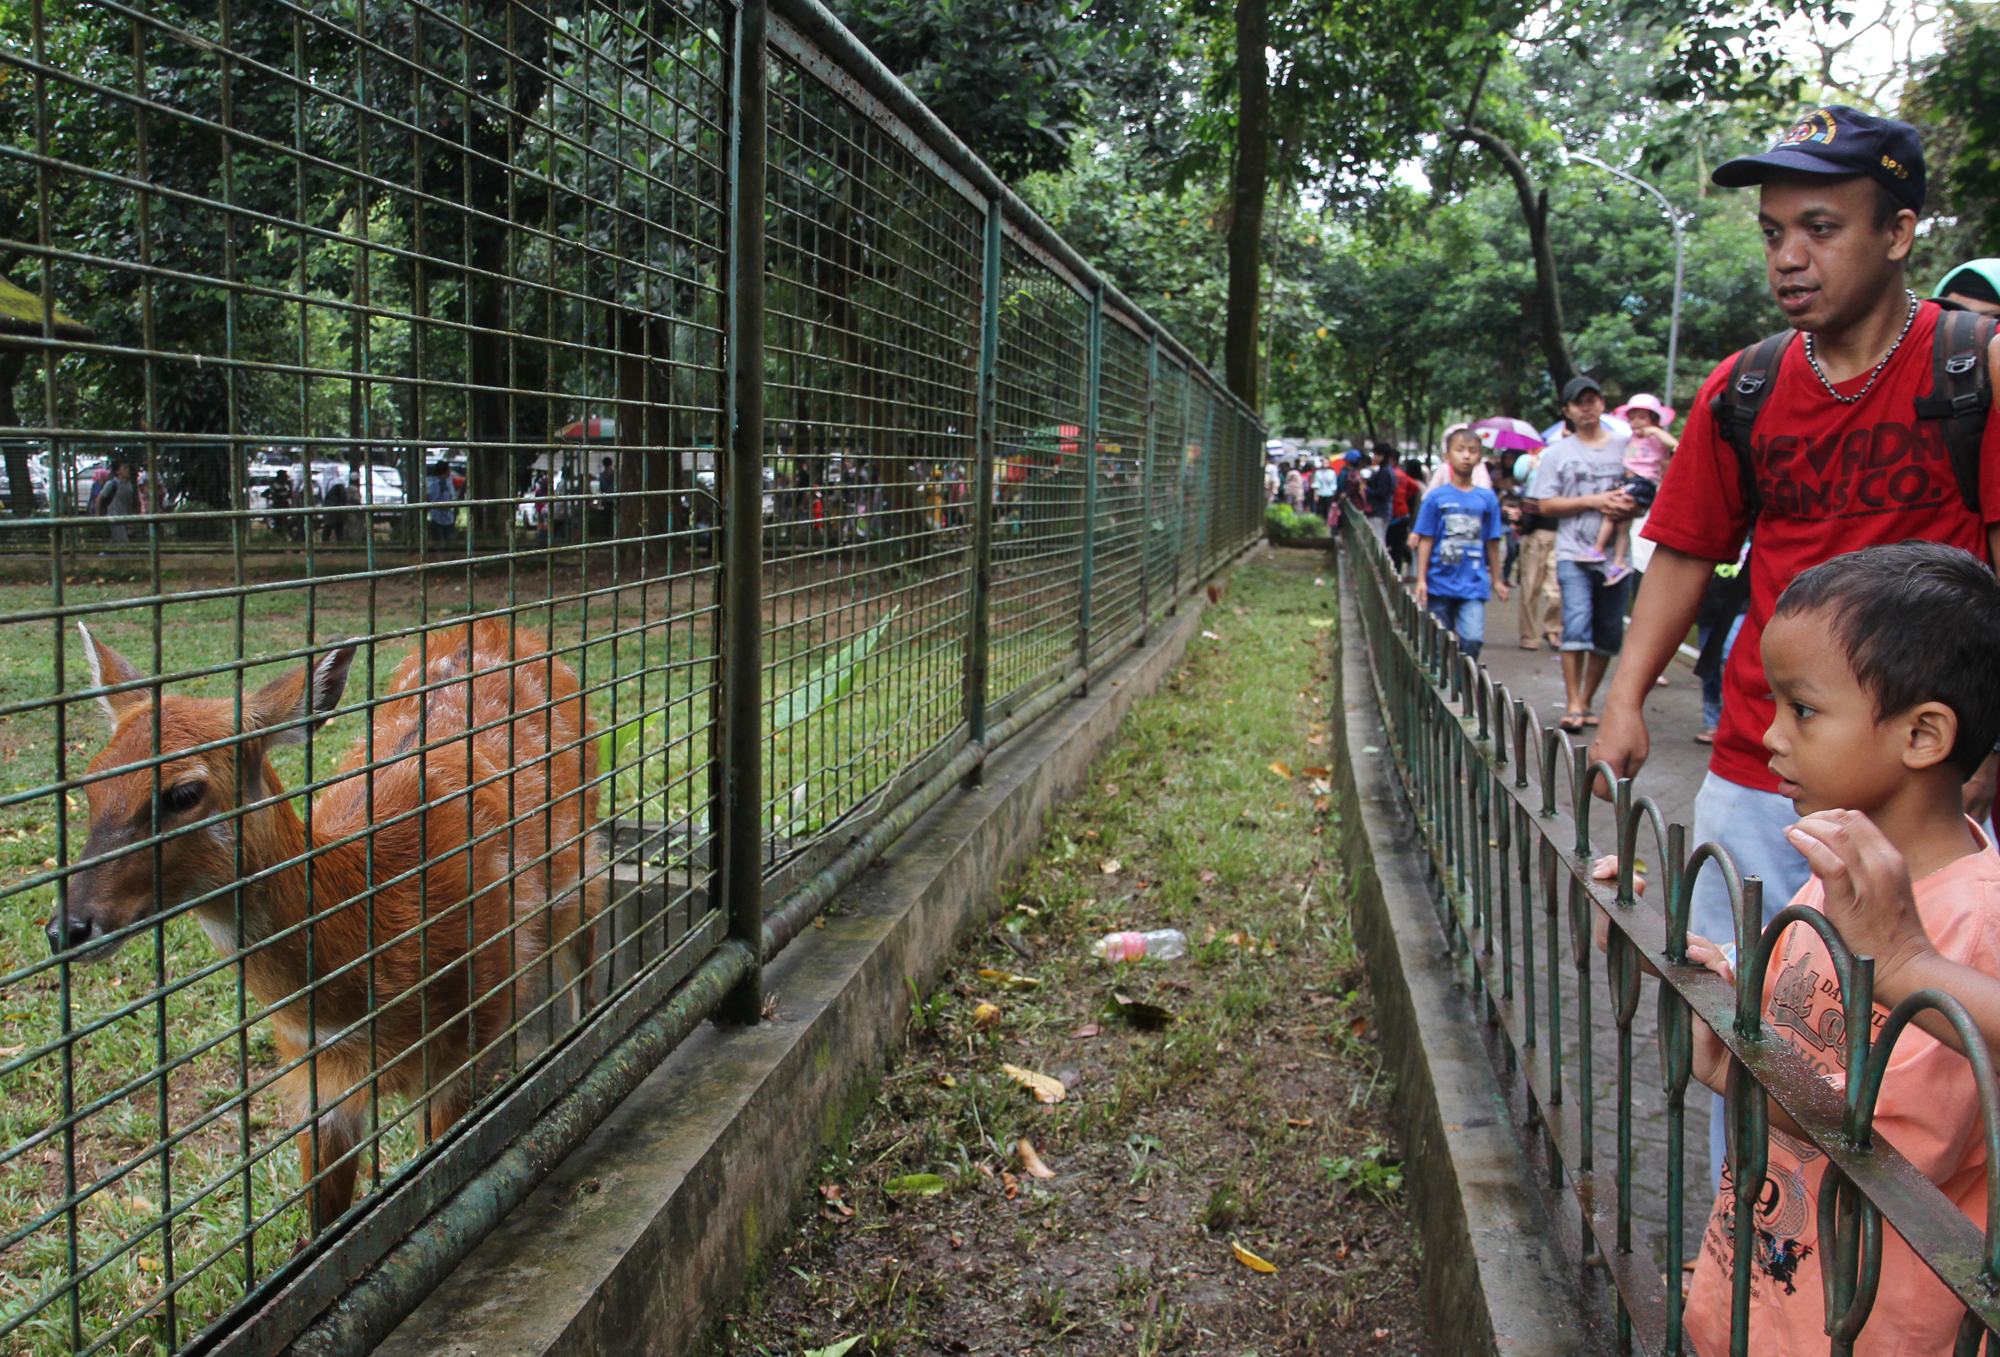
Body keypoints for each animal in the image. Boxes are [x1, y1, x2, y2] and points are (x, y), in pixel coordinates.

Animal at [52, 624, 600, 1232]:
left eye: (183, 792)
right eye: (88, 785)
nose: (67, 927)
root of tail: (495, 627)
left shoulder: (461, 1042)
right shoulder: (311, 1076)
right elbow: (321, 1221)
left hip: (582, 862)